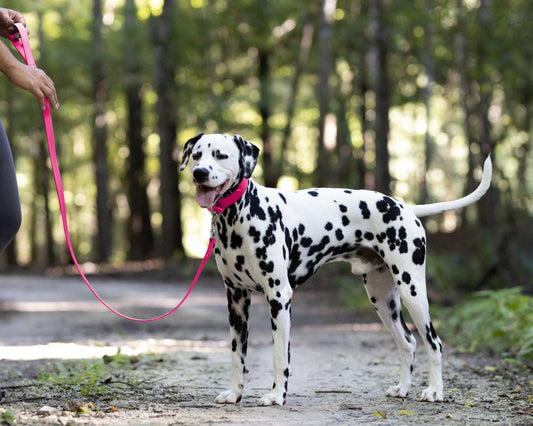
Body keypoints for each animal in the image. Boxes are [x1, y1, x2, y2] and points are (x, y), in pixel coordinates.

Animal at [181, 132, 492, 406]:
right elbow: (237, 355)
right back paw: (402, 389)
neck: (240, 216)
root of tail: (405, 207)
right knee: (408, 343)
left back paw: (435, 391)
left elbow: (280, 355)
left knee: (433, 342)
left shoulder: (279, 297)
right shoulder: (236, 299)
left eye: (220, 155)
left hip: (412, 291)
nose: (199, 173)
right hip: (383, 301)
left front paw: (277, 396)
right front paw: (234, 394)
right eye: (196, 155)